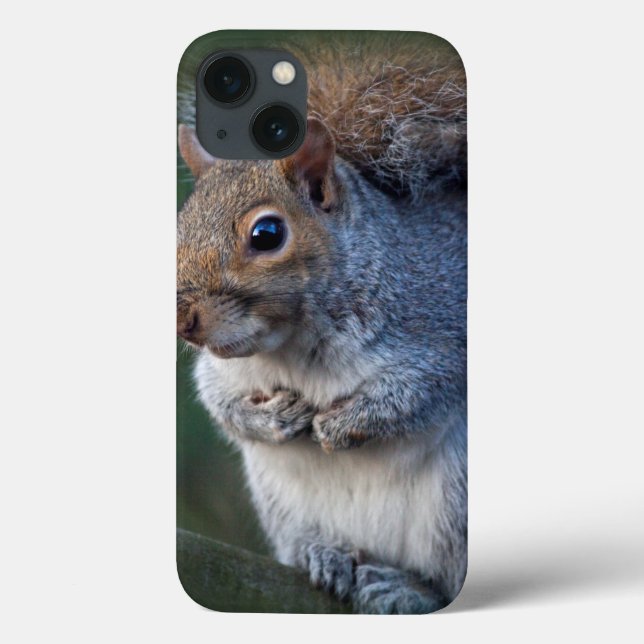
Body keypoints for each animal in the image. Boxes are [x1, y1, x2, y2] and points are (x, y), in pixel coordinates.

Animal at [177, 32, 467, 614]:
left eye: (267, 234)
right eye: (181, 223)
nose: (182, 318)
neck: (292, 344)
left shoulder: (444, 323)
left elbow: (425, 390)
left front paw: (340, 423)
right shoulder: (221, 370)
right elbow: (217, 401)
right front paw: (272, 419)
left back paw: (407, 588)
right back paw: (325, 555)